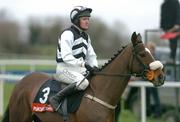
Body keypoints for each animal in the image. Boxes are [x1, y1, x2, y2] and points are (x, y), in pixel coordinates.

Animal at [2, 31, 165, 121]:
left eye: (150, 52)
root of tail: (22, 82)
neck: (100, 94)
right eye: (143, 54)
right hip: (19, 117)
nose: (161, 76)